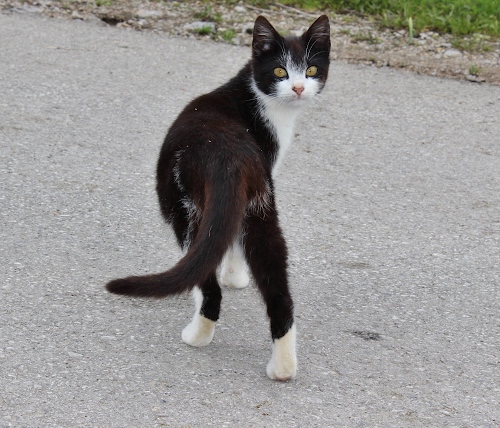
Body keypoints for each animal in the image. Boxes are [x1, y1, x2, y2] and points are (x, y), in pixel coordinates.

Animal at [106, 15, 331, 381]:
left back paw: (196, 335)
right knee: (280, 295)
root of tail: (227, 156)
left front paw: (232, 277)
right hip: (261, 207)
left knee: (207, 282)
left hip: (182, 205)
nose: (298, 88)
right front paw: (237, 276)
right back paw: (282, 368)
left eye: (310, 70)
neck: (257, 100)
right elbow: (234, 243)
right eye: (280, 71)